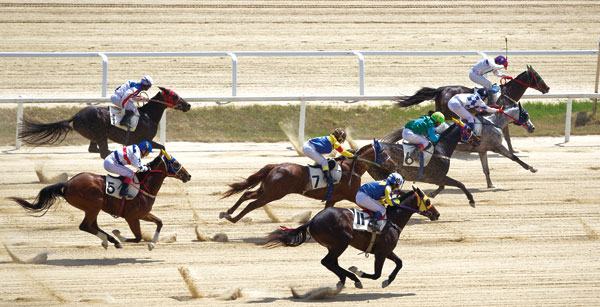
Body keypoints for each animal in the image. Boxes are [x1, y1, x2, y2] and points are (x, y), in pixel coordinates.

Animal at [7, 150, 190, 251]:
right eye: (175, 163)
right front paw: (119, 235)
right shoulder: (132, 217)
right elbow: (137, 237)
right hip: (94, 205)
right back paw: (113, 240)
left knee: (91, 226)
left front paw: (152, 245)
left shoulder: (143, 214)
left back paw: (108, 241)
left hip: (93, 208)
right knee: (85, 226)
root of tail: (67, 183)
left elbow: (159, 222)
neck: (144, 186)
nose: (188, 175)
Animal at [19, 86, 190, 159]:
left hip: (95, 136)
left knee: (94, 150)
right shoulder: (144, 139)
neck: (148, 116)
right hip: (100, 134)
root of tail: (76, 116)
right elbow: (162, 147)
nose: (188, 105)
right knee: (103, 152)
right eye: (175, 96)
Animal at [218, 140, 396, 224]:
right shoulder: (353, 195)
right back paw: (233, 218)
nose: (394, 164)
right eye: (383, 152)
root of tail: (275, 166)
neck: (352, 168)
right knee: (252, 204)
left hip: (266, 190)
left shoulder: (332, 199)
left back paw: (227, 212)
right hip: (273, 194)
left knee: (247, 194)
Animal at [268, 186, 440, 290]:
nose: (437, 214)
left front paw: (387, 281)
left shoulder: (387, 250)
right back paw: (353, 278)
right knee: (327, 262)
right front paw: (359, 272)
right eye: (428, 201)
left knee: (332, 263)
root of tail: (313, 219)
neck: (392, 220)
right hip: (341, 243)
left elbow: (399, 263)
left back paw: (343, 279)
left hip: (333, 246)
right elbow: (376, 274)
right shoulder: (381, 252)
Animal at [396, 67, 552, 154]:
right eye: (537, 77)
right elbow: (507, 136)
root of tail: (441, 89)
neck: (507, 92)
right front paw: (513, 150)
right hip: (448, 112)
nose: (547, 88)